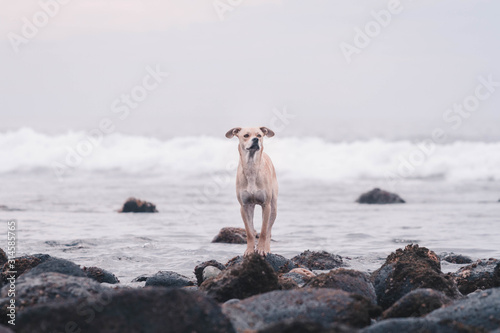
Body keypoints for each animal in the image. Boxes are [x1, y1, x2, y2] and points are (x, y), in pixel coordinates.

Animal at [226, 126, 278, 254]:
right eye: (246, 135)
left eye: (259, 135)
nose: (256, 140)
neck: (251, 168)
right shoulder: (244, 206)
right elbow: (249, 232)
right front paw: (249, 250)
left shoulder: (266, 205)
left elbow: (264, 231)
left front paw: (261, 249)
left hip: (273, 207)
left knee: (269, 230)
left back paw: (267, 248)